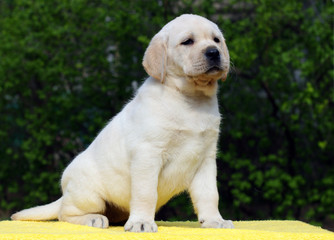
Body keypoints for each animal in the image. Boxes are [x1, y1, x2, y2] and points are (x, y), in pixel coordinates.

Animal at [11, 13, 234, 232]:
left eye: (216, 40)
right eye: (187, 41)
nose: (213, 52)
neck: (191, 98)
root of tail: (65, 192)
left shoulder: (205, 158)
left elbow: (209, 194)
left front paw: (215, 221)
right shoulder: (147, 153)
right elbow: (146, 193)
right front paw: (142, 222)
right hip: (89, 195)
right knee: (64, 213)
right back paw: (93, 218)